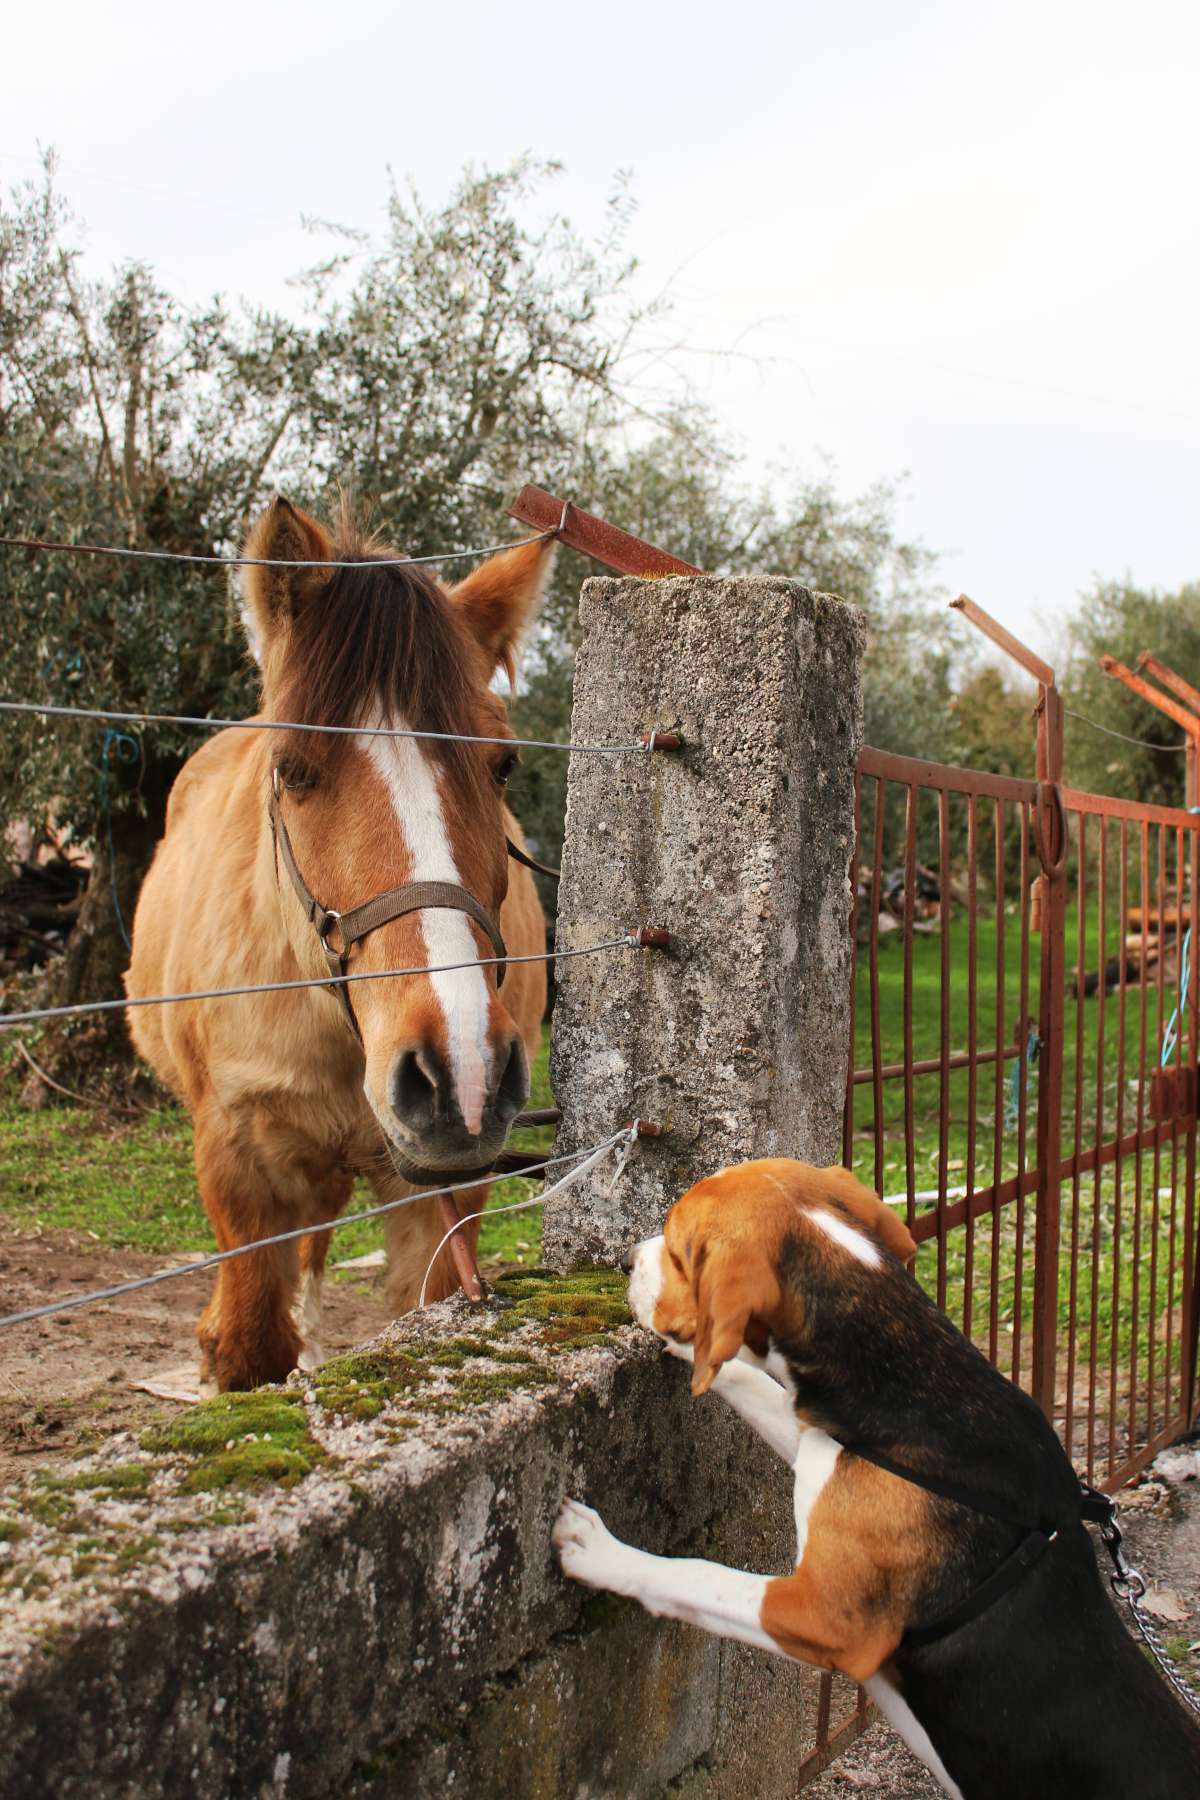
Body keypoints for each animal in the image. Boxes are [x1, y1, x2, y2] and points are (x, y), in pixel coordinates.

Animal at [124, 496, 550, 1389]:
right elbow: (252, 1344)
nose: (461, 1075)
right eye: (291, 768)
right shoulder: (241, 1164)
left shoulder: (439, 1198)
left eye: (502, 765)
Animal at [554, 1159, 1200, 1792]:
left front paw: (598, 1550)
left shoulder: (825, 1617)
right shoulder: (822, 1445)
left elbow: (695, 1575)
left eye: (677, 1248)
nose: (625, 1261)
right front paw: (691, 1349)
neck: (911, 1375)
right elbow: (751, 1382)